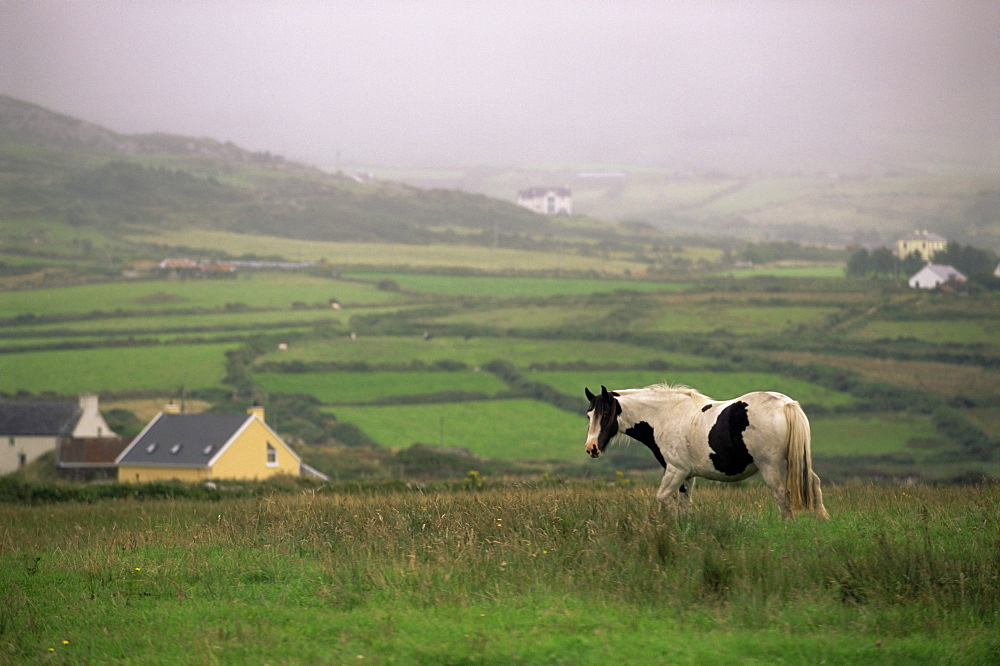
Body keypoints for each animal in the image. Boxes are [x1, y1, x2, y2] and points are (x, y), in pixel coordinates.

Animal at [584, 384, 832, 520]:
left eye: (605, 415)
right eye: (589, 415)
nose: (591, 448)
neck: (666, 416)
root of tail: (786, 404)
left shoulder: (676, 470)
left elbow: (664, 498)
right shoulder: (687, 475)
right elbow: (684, 504)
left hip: (769, 466)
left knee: (782, 495)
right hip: (798, 459)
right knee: (814, 484)